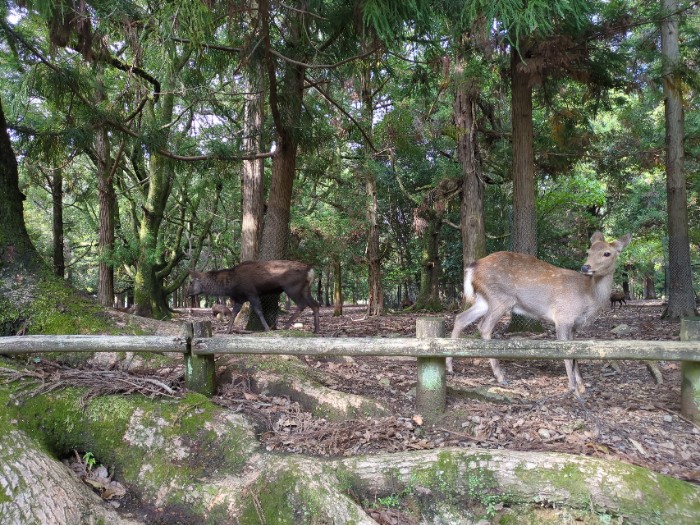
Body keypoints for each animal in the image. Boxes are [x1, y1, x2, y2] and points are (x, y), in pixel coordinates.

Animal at [185, 260, 318, 334]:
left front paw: (267, 328)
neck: (230, 287)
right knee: (315, 304)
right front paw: (227, 331)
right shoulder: (239, 298)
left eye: (191, 282)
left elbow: (258, 311)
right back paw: (316, 330)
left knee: (302, 304)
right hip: (306, 289)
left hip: (292, 287)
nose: (187, 294)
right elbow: (234, 313)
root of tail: (311, 270)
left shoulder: (251, 292)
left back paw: (284, 326)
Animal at [452, 231, 632, 396]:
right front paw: (573, 388)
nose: (585, 267)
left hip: (484, 299)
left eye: (607, 253)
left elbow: (575, 353)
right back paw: (501, 377)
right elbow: (566, 353)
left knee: (460, 318)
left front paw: (582, 386)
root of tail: (473, 267)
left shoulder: (574, 326)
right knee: (484, 326)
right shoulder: (563, 317)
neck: (588, 297)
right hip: (501, 297)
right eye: (589, 251)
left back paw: (450, 367)